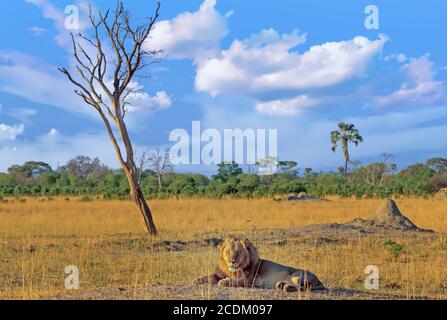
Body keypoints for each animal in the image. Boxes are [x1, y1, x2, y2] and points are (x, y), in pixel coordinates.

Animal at [196, 235, 326, 292]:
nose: (232, 261)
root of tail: (319, 280)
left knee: (303, 286)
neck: (233, 270)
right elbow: (210, 276)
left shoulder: (250, 280)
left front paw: (224, 282)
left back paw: (287, 287)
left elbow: (236, 282)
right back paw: (283, 285)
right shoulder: (221, 273)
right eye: (228, 251)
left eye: (238, 252)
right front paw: (197, 280)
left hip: (297, 276)